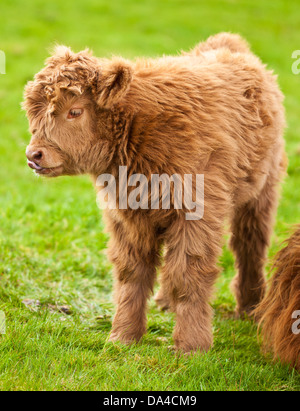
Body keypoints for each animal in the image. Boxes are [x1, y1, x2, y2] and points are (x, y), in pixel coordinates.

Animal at [23, 33, 286, 354]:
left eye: (75, 111)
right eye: (33, 112)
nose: (34, 155)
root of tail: (230, 43)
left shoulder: (197, 213)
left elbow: (189, 274)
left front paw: (191, 345)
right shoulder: (128, 217)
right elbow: (132, 273)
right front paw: (123, 336)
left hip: (262, 191)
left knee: (250, 245)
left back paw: (250, 307)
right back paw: (165, 301)